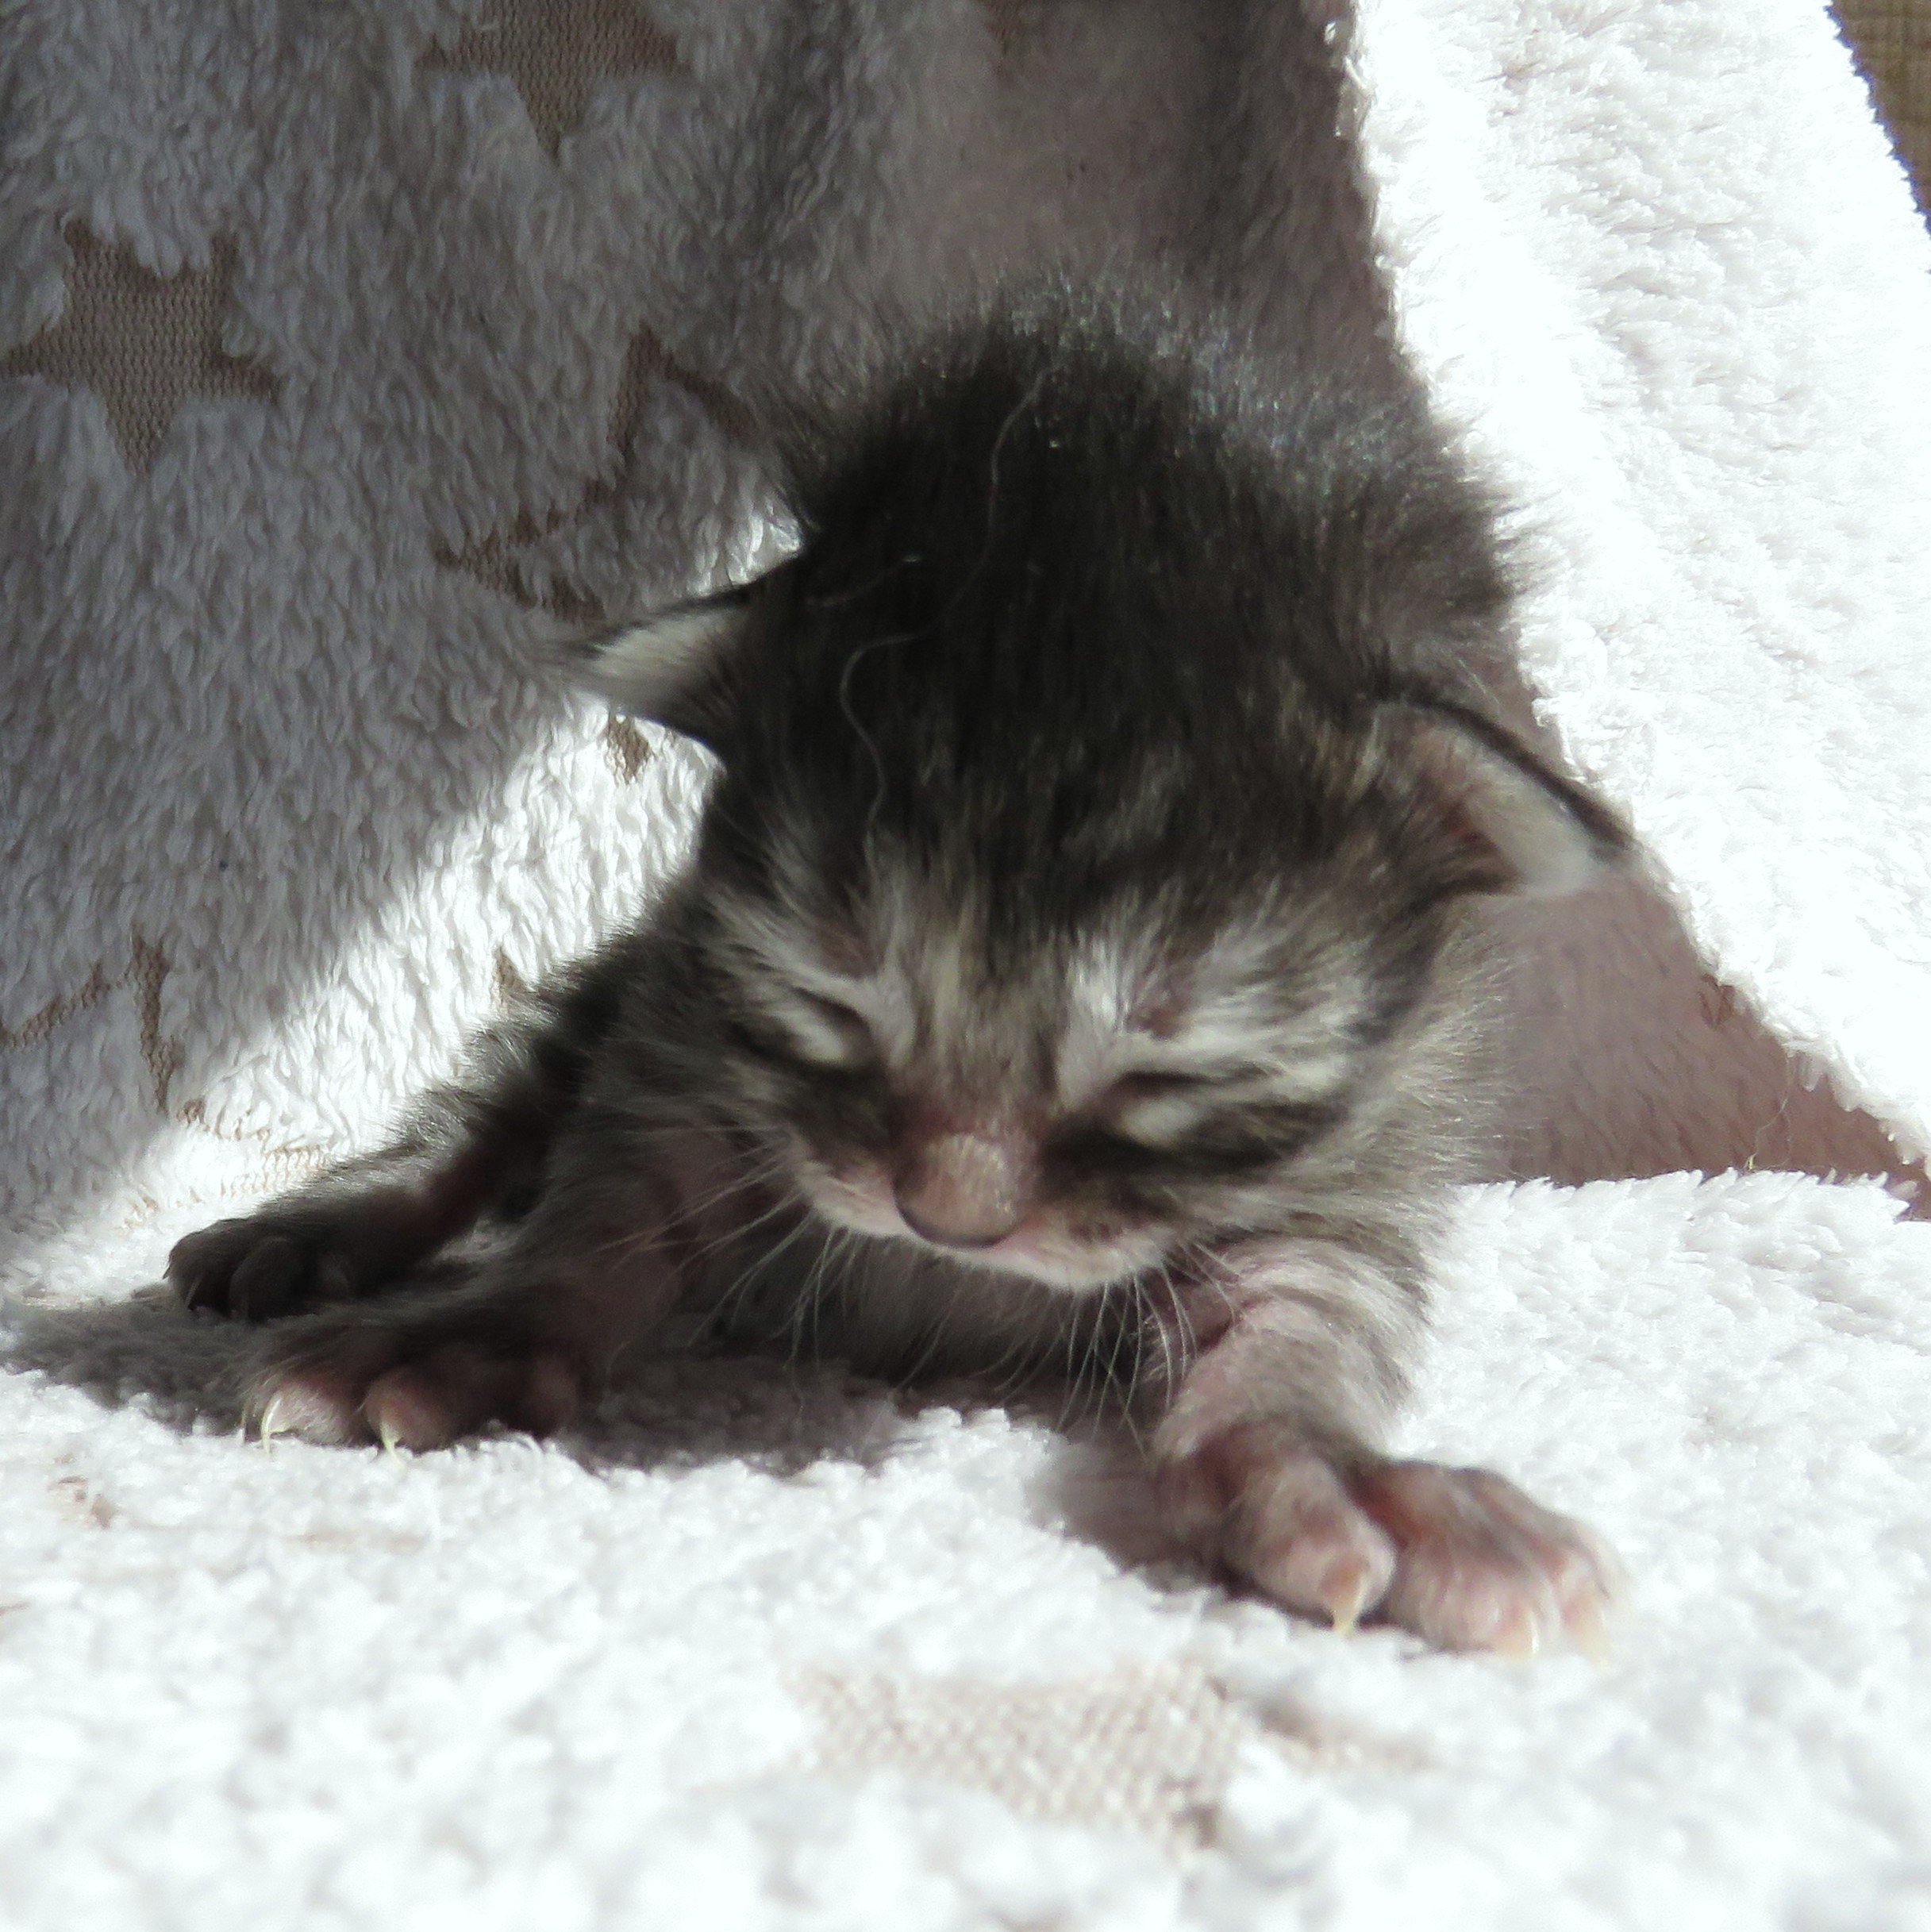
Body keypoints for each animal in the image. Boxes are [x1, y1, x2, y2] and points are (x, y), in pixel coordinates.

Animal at [170, 292, 1626, 1657]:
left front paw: (1330, 1464)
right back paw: (329, 1222)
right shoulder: (694, 1006)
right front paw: (480, 1324)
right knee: (496, 1098)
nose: (950, 1215)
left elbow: (1304, 1311)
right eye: (832, 999)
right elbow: (615, 1194)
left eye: (1164, 1072)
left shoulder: (1369, 1147)